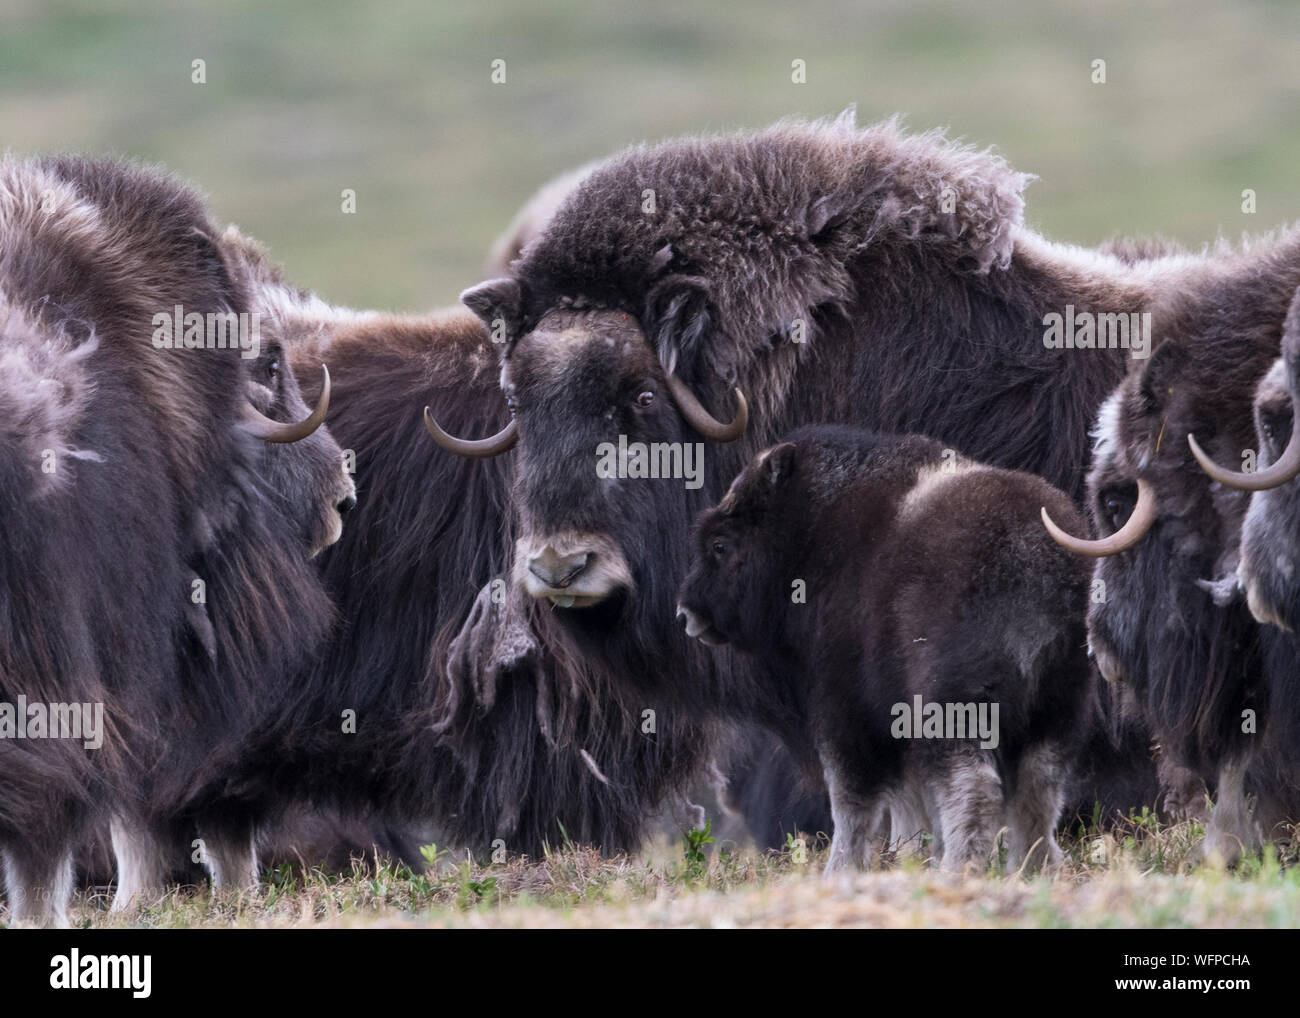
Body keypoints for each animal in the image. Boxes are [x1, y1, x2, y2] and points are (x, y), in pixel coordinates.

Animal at [676, 426, 1092, 873]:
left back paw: (957, 871)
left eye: (720, 544)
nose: (686, 613)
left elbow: (851, 800)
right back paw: (1034, 868)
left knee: (976, 787)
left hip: (957, 705)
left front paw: (841, 870)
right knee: (1040, 789)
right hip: (1055, 707)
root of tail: (1036, 564)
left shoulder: (846, 710)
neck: (812, 536)